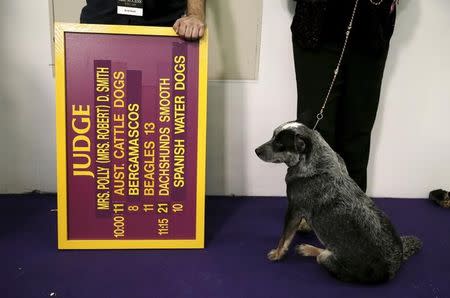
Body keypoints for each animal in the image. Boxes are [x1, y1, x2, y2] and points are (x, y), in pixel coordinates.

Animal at [256, 120, 422, 282]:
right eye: (272, 136)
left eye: (279, 143)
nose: (256, 150)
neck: (314, 162)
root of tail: (396, 264)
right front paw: (305, 225)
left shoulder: (294, 209)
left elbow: (284, 238)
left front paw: (277, 254)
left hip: (326, 258)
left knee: (321, 255)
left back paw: (308, 249)